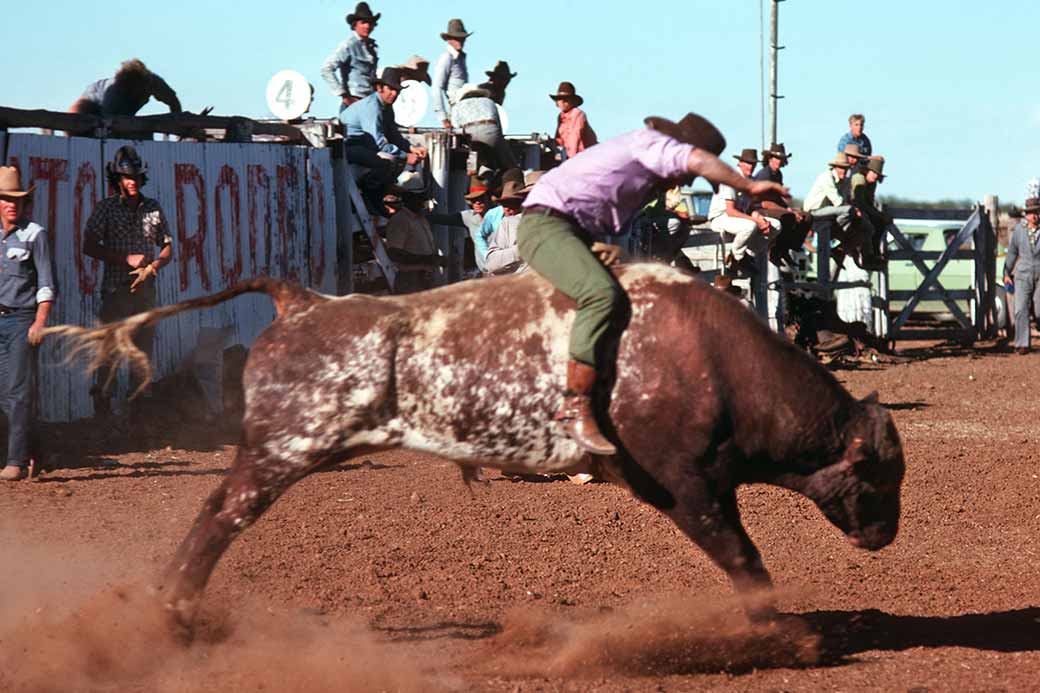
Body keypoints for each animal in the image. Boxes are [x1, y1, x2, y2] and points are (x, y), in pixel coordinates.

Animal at [44, 263, 905, 634]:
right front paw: (783, 635)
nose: (885, 533)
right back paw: (172, 608)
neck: (711, 357)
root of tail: (303, 300)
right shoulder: (686, 484)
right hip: (282, 448)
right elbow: (743, 558)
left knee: (216, 511)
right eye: (878, 474)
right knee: (221, 515)